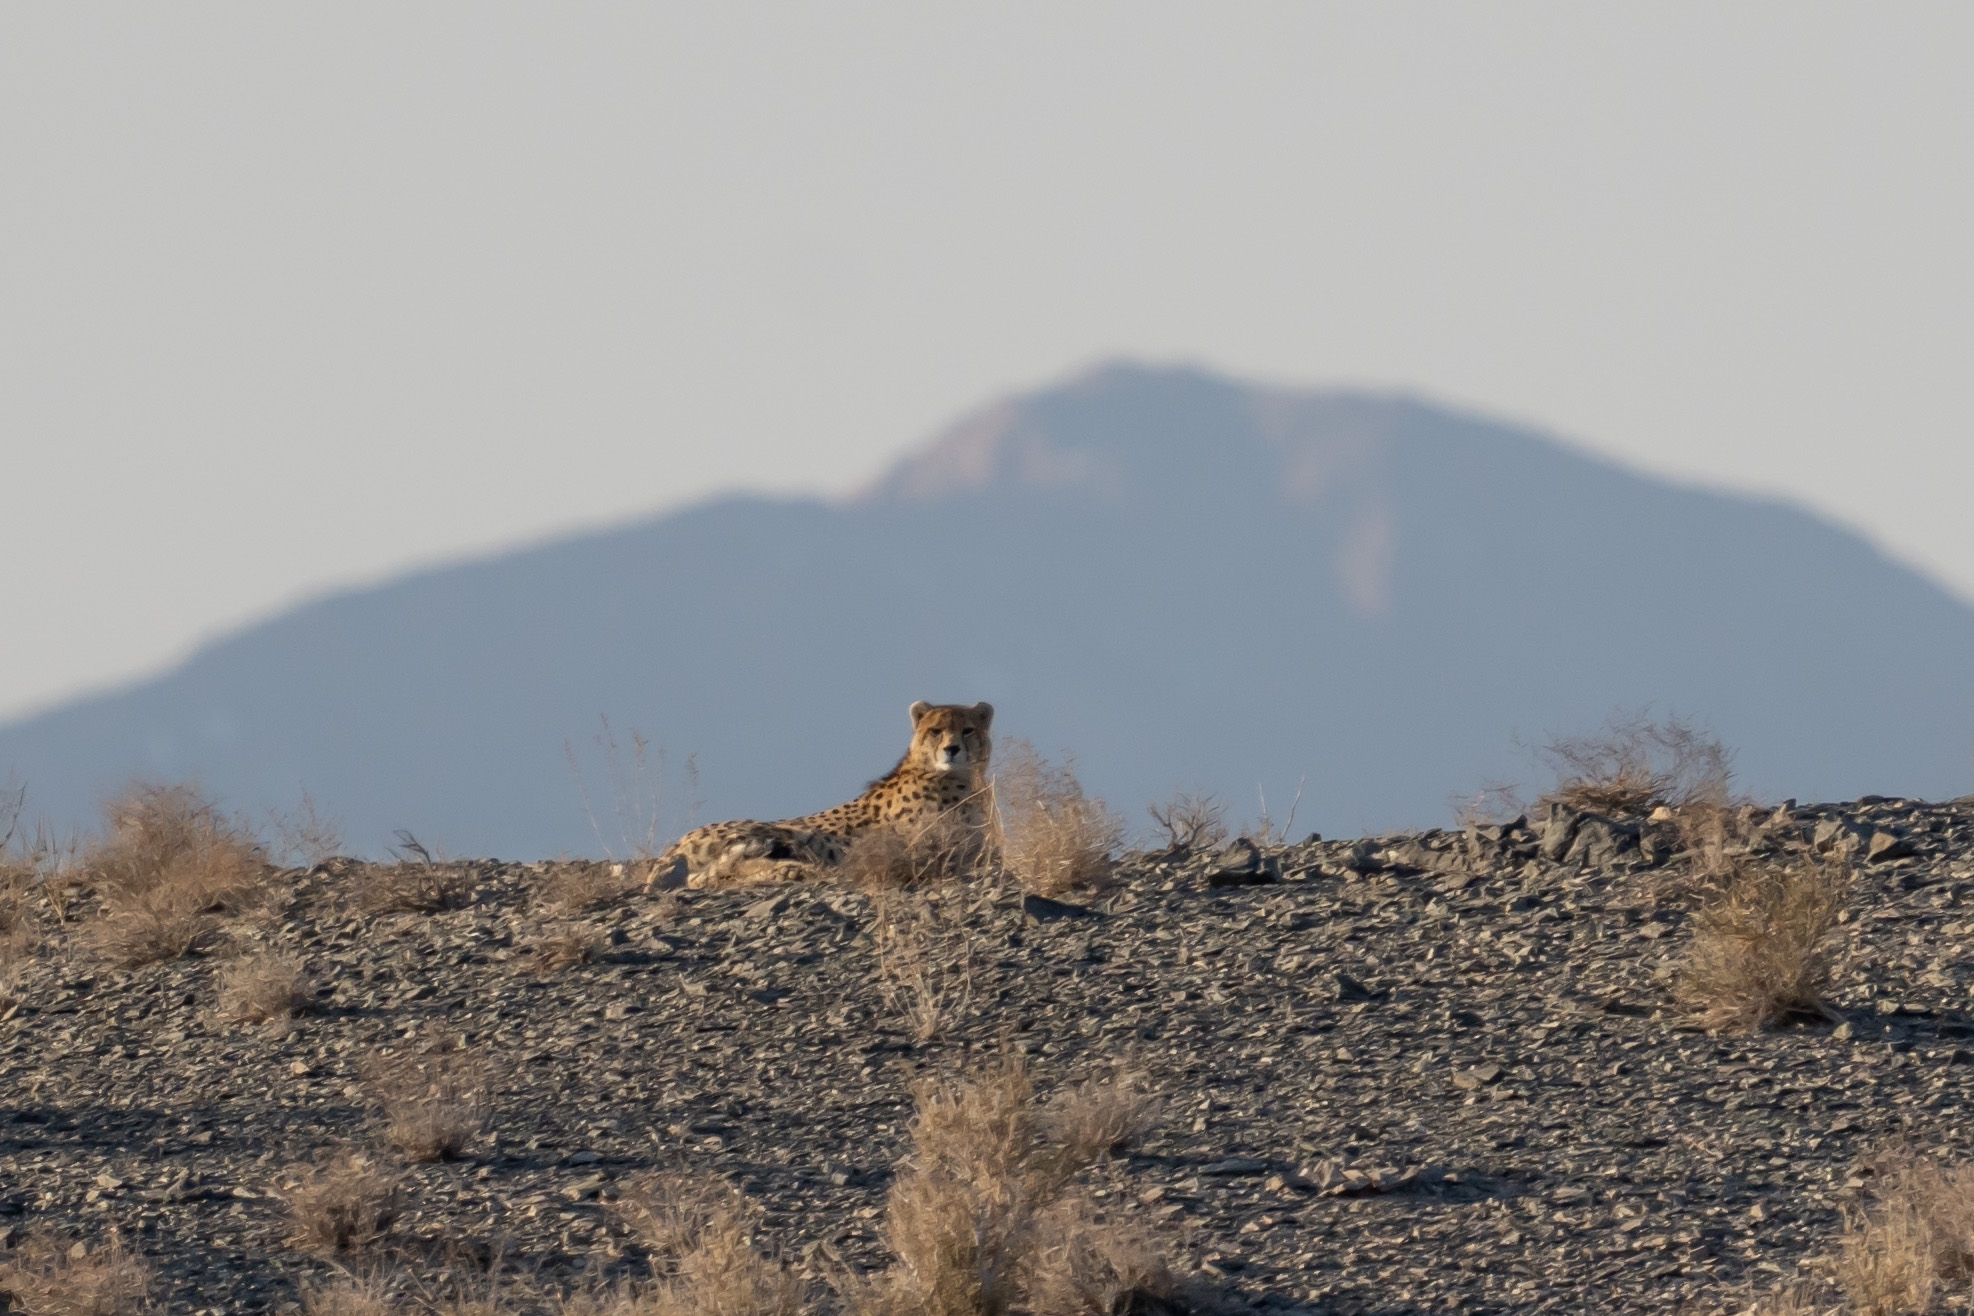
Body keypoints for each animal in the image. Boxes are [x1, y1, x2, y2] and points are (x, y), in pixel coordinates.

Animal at [647, 701, 994, 889]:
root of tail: (674, 846)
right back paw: (800, 869)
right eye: (936, 730)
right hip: (770, 830)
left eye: (968, 730)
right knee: (735, 868)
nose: (952, 749)